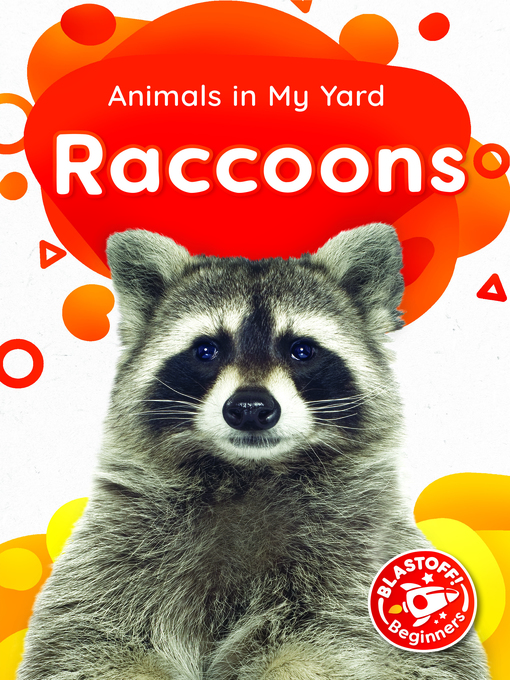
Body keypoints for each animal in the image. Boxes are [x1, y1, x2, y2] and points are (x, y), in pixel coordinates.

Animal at [18, 224, 489, 680]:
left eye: (302, 350)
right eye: (206, 350)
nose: (249, 408)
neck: (247, 474)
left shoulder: (355, 556)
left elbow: (332, 643)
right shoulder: (115, 549)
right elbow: (87, 642)